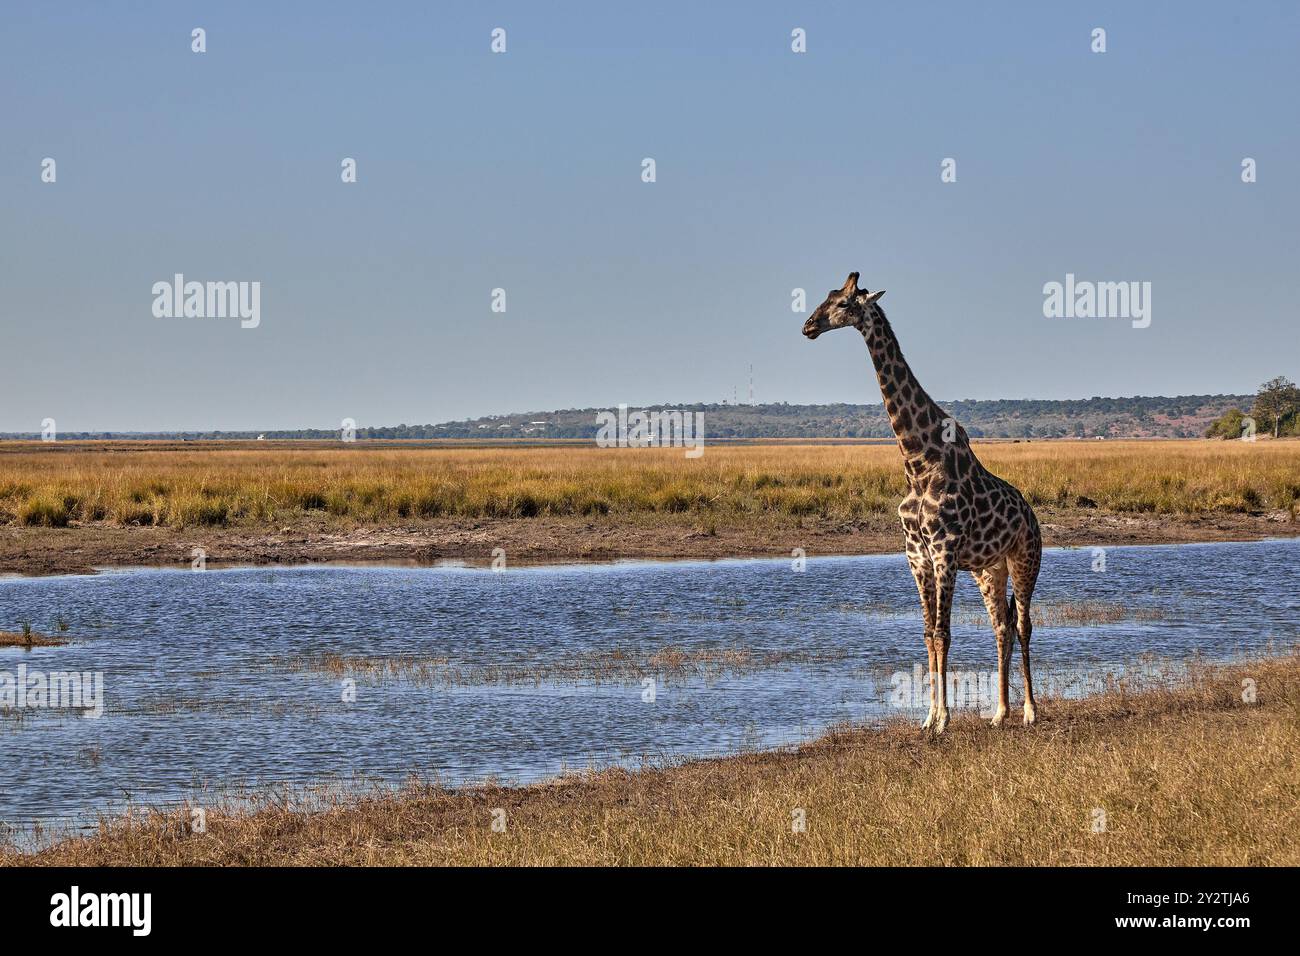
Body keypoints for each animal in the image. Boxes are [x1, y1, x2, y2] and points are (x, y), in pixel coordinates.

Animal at [800, 273, 1045, 738]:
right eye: (827, 296)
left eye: (844, 303)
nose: (808, 326)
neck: (916, 460)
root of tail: (1031, 514)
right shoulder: (916, 555)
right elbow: (929, 633)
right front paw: (928, 718)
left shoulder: (944, 551)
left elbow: (945, 633)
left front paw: (944, 719)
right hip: (989, 569)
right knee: (1001, 626)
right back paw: (1000, 712)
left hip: (1024, 559)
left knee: (1023, 624)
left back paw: (1030, 711)